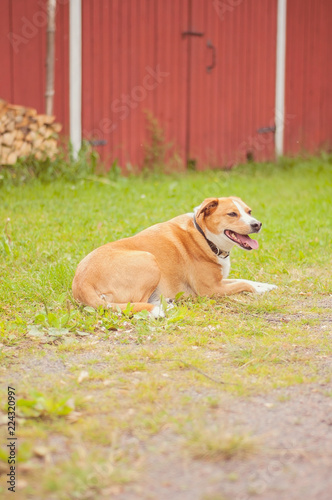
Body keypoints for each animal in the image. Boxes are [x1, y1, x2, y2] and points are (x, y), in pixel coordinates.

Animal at [73, 196, 278, 316]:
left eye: (249, 211)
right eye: (232, 214)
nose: (257, 224)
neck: (204, 236)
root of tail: (81, 283)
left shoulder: (219, 282)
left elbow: (245, 280)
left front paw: (265, 286)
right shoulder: (210, 289)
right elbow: (243, 284)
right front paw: (259, 289)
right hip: (149, 260)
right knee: (135, 304)